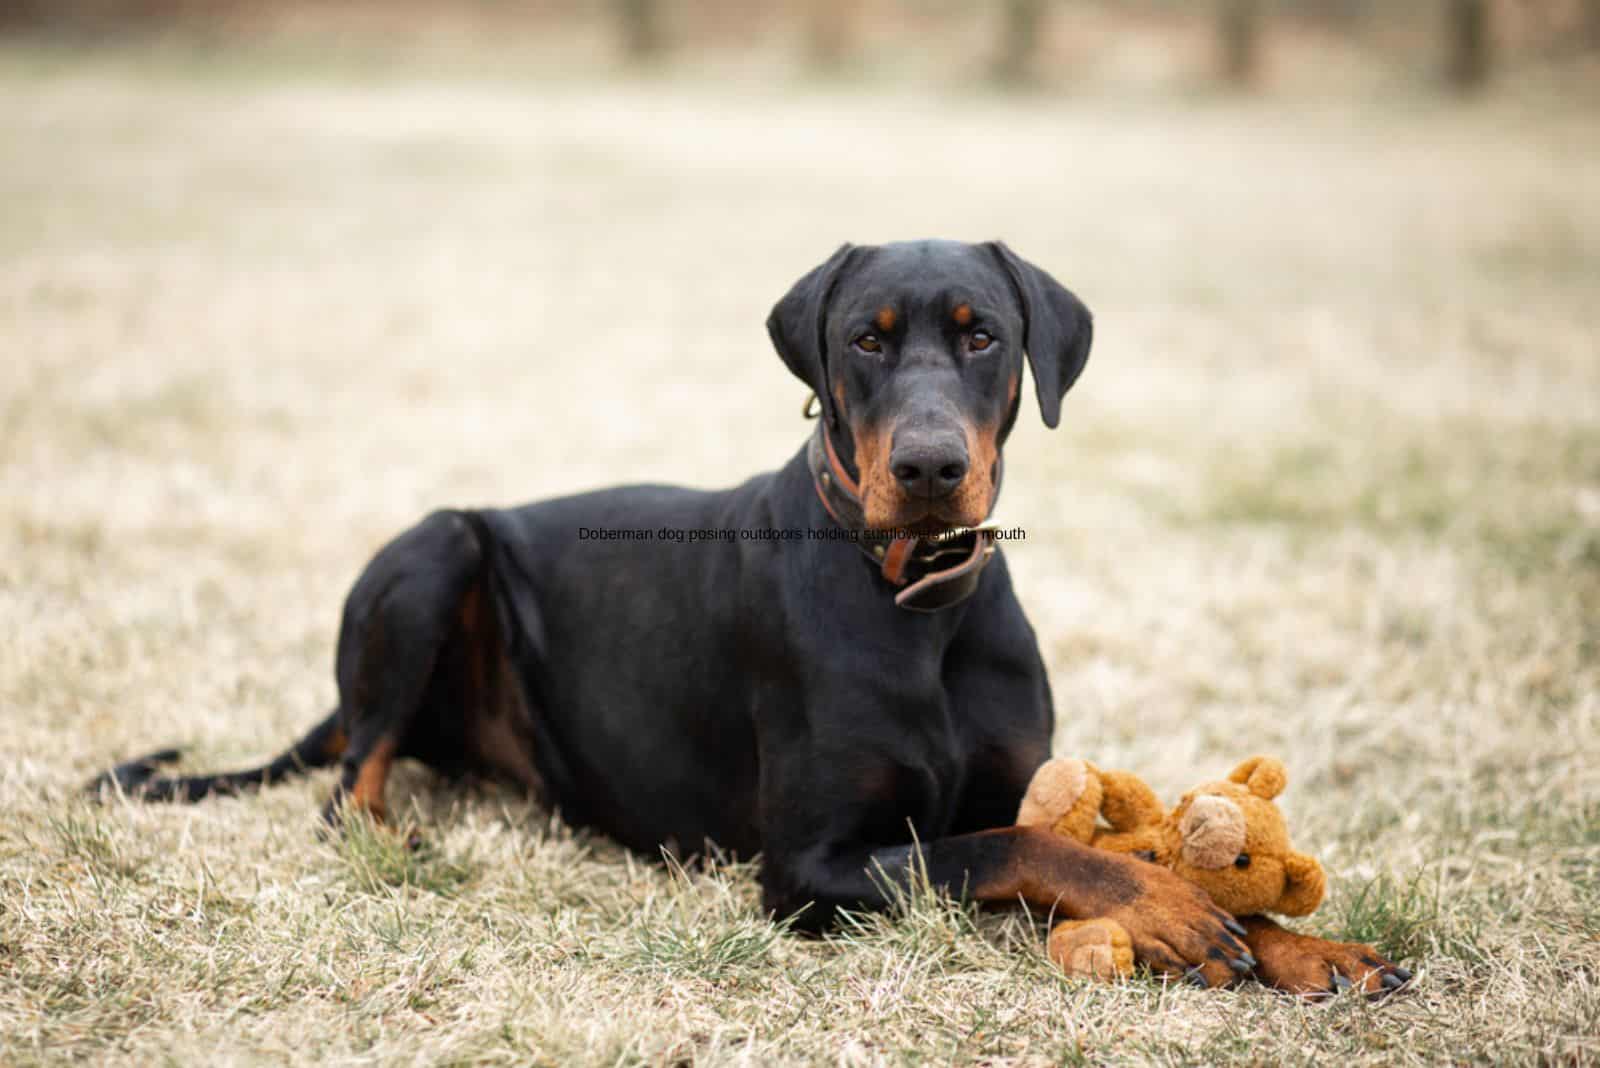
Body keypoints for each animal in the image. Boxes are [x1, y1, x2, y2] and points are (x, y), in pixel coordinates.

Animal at [93, 241, 1408, 991]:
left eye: (982, 335)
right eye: (864, 339)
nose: (929, 467)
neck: (914, 603)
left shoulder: (1008, 776)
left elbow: (1076, 835)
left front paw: (1302, 945)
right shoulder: (812, 866)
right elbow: (1019, 847)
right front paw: (1168, 906)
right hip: (434, 549)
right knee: (349, 773)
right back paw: (389, 833)